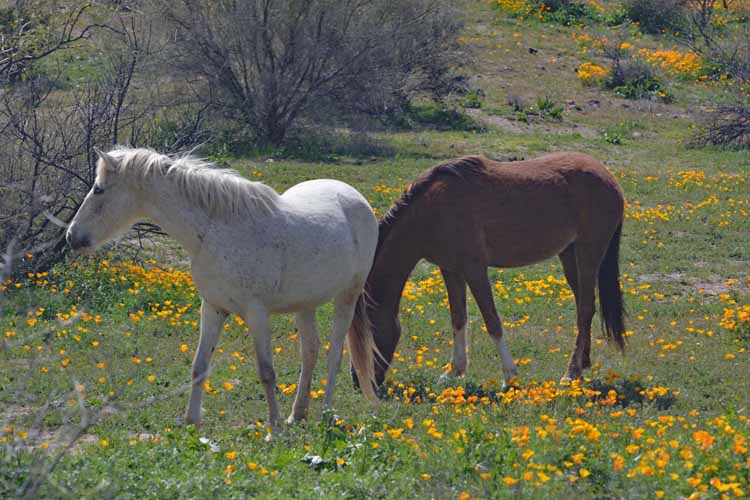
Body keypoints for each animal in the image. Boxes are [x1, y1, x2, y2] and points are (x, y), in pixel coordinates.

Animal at [64, 146, 378, 432]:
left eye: (99, 189)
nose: (71, 236)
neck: (215, 231)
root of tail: (354, 196)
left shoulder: (256, 313)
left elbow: (266, 371)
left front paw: (274, 430)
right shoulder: (213, 308)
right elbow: (199, 365)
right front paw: (191, 421)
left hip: (347, 297)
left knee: (334, 355)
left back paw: (325, 413)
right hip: (305, 305)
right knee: (310, 352)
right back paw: (297, 414)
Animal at [358, 152, 628, 390]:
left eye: (368, 335)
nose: (359, 383)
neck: (434, 210)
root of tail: (609, 178)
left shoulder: (475, 269)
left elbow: (492, 321)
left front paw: (510, 377)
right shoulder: (451, 270)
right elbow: (458, 318)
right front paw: (454, 371)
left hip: (588, 254)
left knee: (585, 309)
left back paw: (571, 373)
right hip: (569, 255)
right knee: (585, 307)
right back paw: (582, 364)